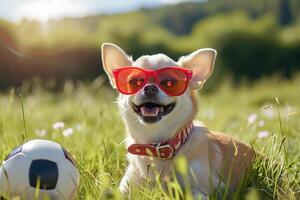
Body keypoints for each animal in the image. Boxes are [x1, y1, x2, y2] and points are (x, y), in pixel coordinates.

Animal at [101, 43, 255, 198]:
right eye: (135, 82)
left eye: (170, 83)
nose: (150, 88)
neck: (156, 146)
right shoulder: (127, 187)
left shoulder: (204, 188)